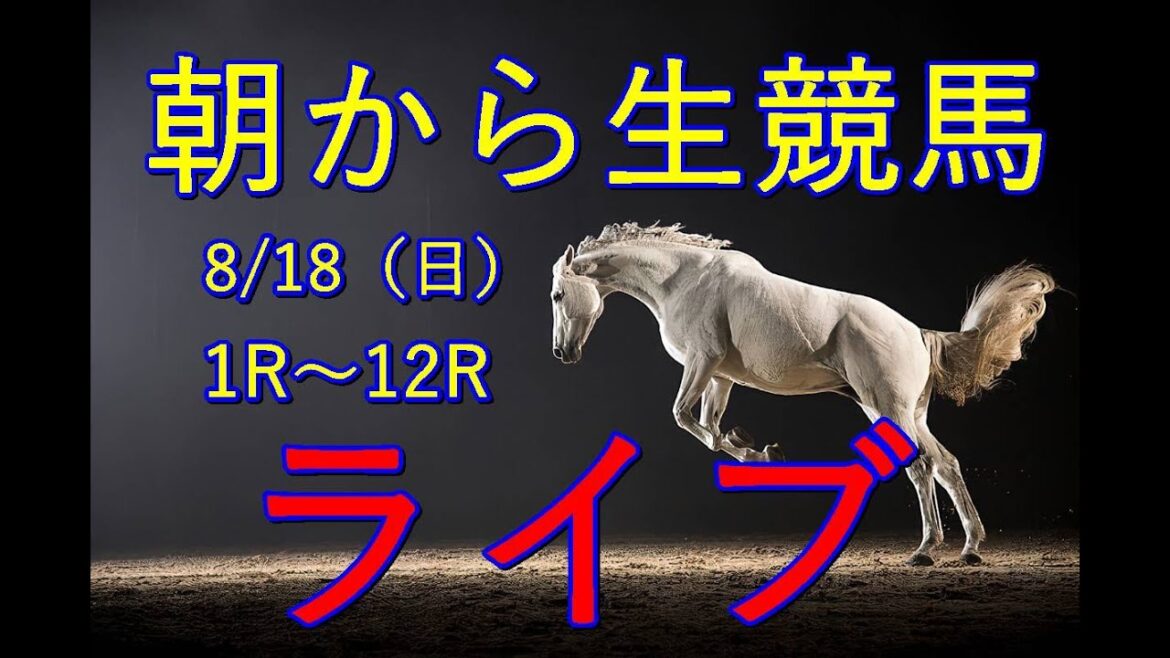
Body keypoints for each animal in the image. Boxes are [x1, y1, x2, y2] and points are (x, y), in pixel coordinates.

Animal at [549, 222, 1056, 566]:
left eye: (557, 295)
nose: (562, 352)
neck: (684, 279)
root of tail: (917, 333)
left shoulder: (702, 361)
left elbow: (683, 417)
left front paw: (757, 450)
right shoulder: (720, 376)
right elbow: (709, 427)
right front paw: (756, 449)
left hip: (888, 408)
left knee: (921, 466)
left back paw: (926, 550)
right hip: (901, 412)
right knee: (945, 464)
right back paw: (970, 547)